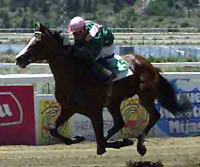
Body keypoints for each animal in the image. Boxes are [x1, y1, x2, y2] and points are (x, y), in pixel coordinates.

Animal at [16, 23, 192, 155]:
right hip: (114, 102)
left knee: (154, 116)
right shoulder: (68, 108)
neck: (74, 75)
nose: (19, 58)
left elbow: (100, 144)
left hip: (145, 96)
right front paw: (77, 138)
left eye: (37, 43)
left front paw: (123, 141)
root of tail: (150, 66)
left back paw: (140, 145)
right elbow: (53, 129)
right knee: (120, 123)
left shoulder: (95, 111)